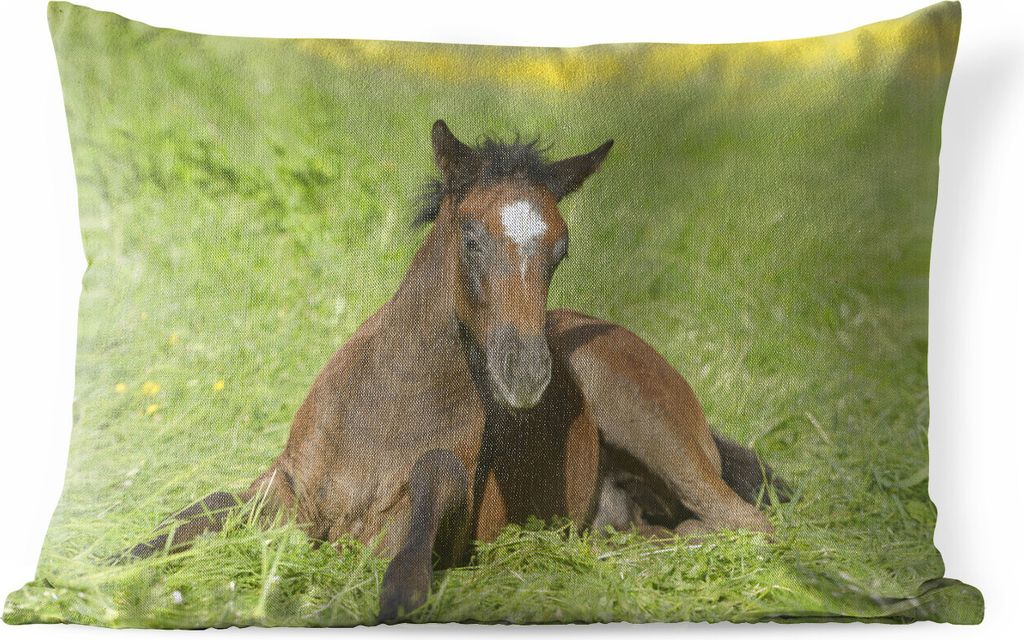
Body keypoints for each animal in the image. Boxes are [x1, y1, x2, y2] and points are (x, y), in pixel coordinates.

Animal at [121, 120, 788, 622]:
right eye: (469, 236)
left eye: (561, 248)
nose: (527, 374)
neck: (387, 406)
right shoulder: (285, 487)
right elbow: (189, 516)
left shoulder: (417, 518)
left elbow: (410, 561)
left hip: (643, 417)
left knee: (745, 524)